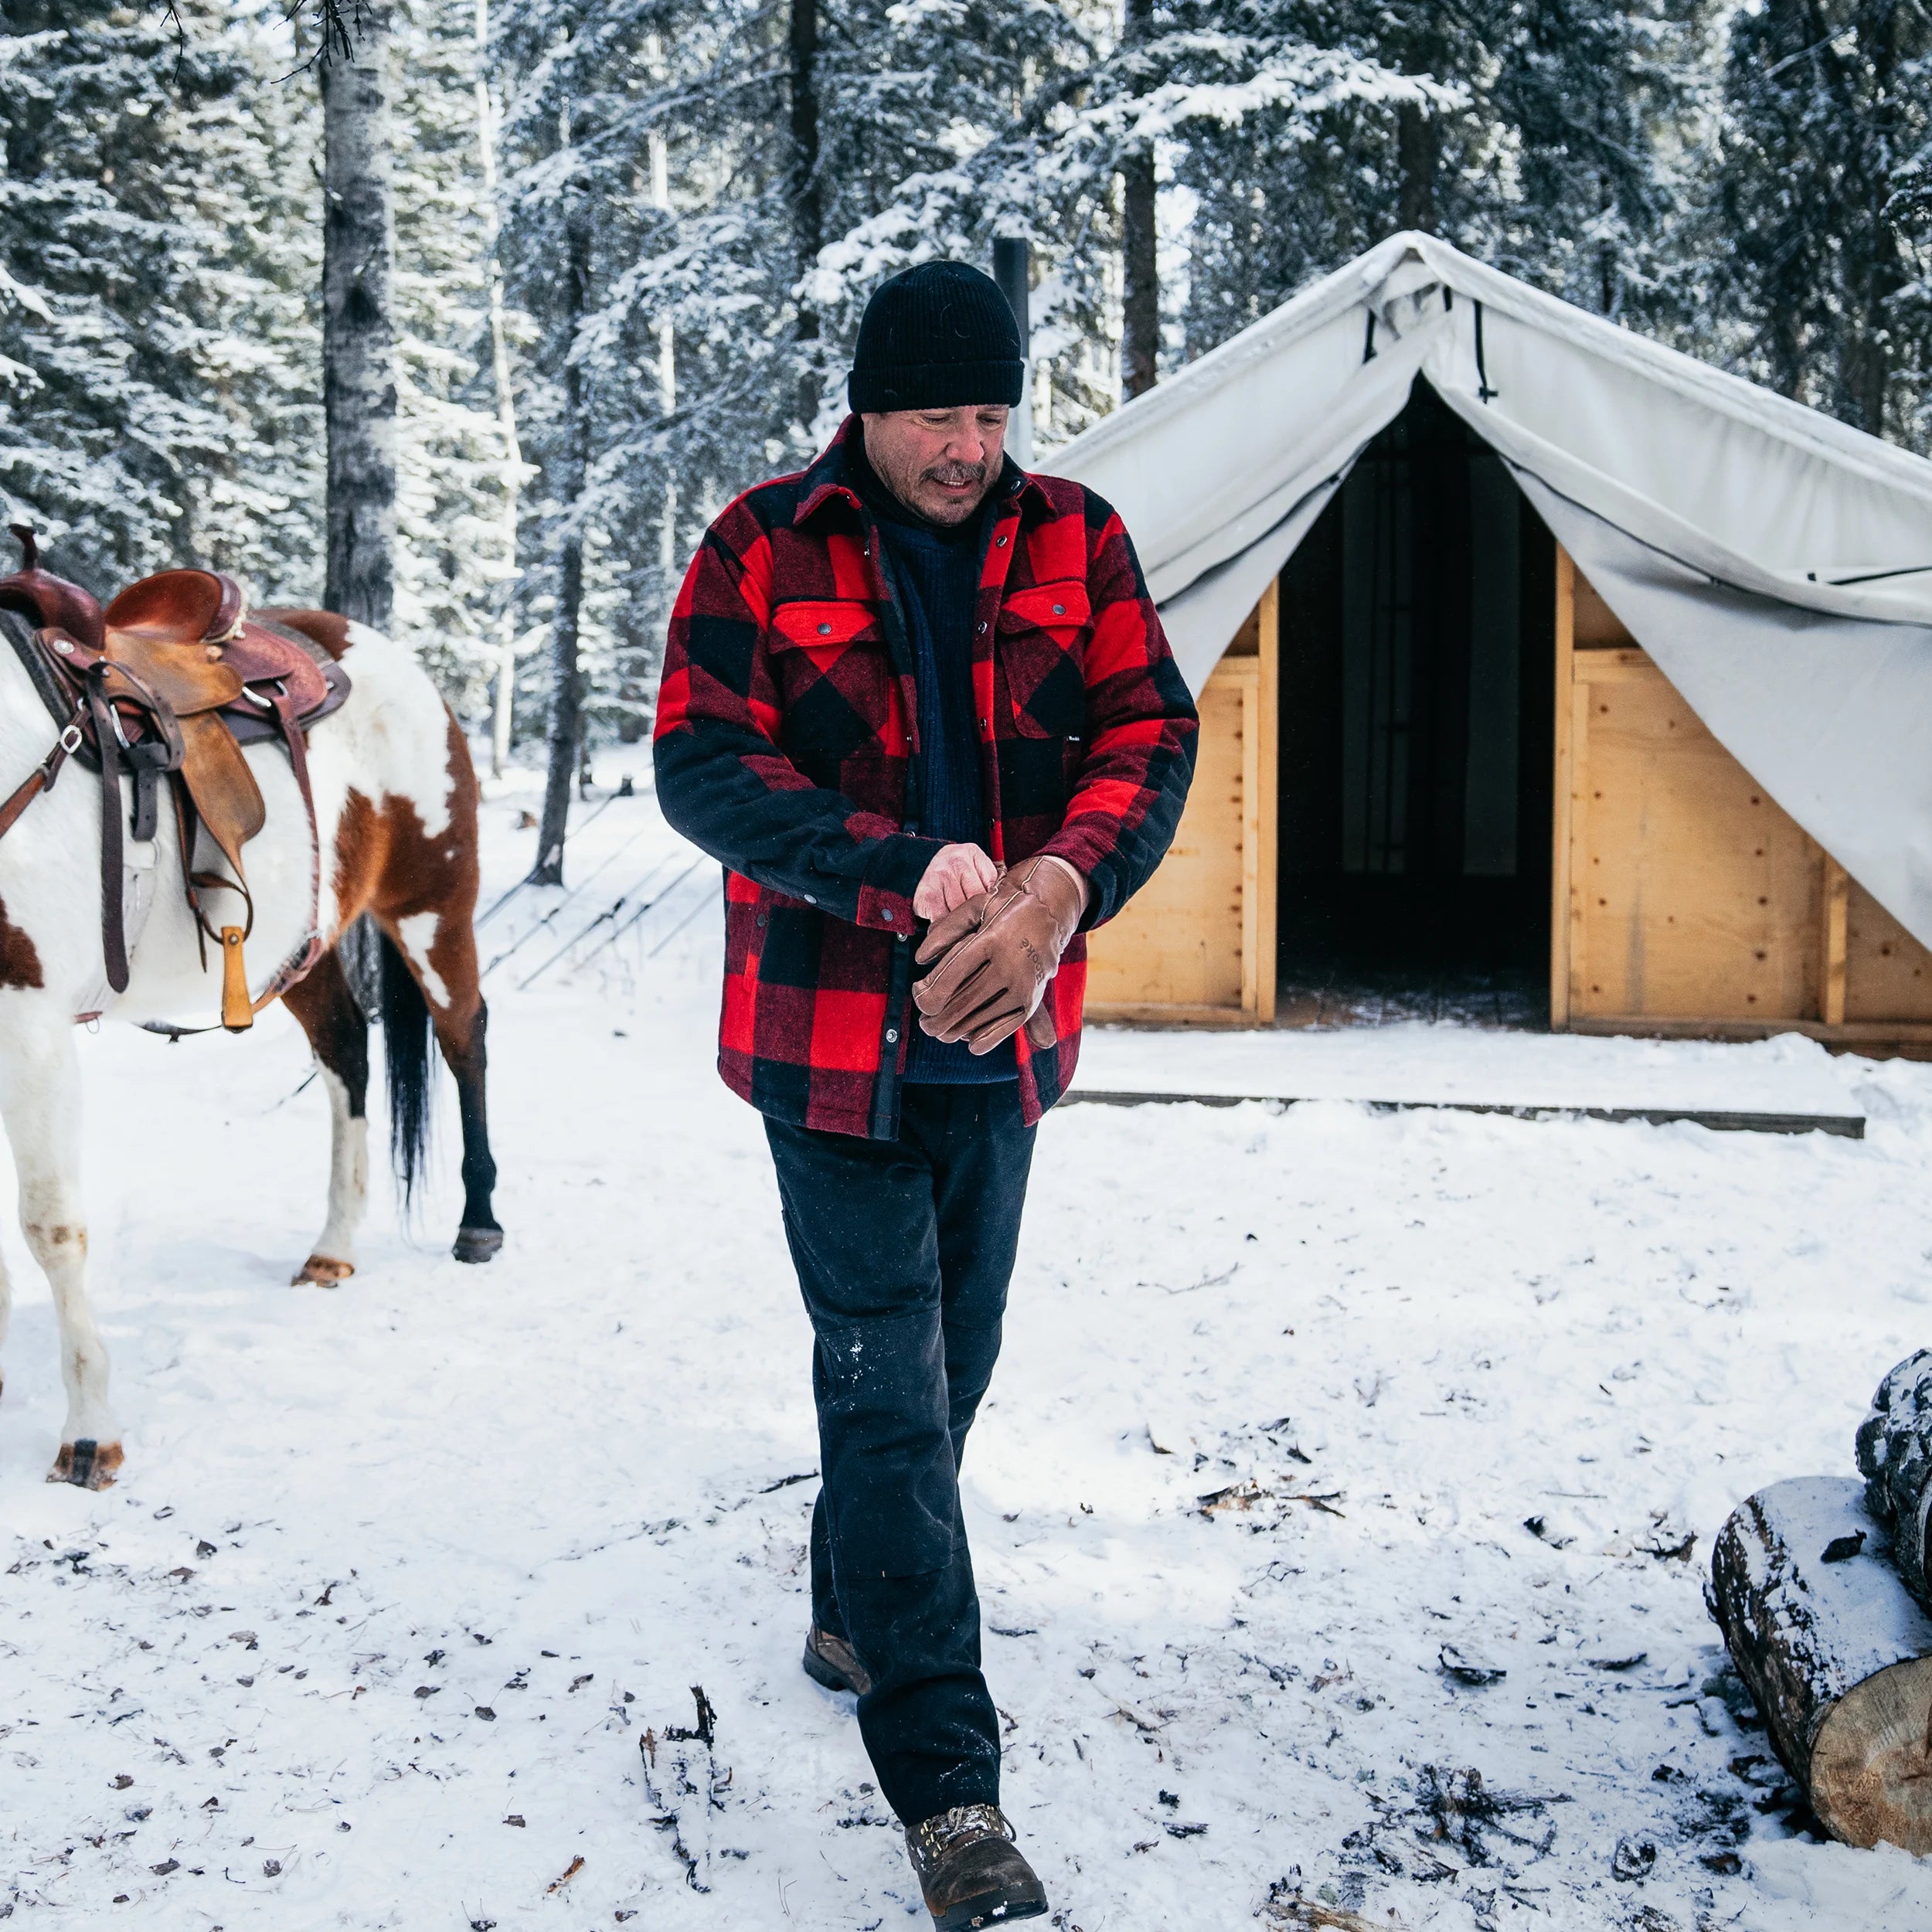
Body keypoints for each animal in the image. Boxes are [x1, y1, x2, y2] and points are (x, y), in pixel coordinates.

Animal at [0, 576, 502, 1492]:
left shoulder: (30, 1025)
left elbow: (51, 1226)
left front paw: (90, 1434)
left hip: (431, 906)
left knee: (464, 1038)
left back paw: (479, 1223)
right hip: (299, 949)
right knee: (348, 1051)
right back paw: (333, 1246)